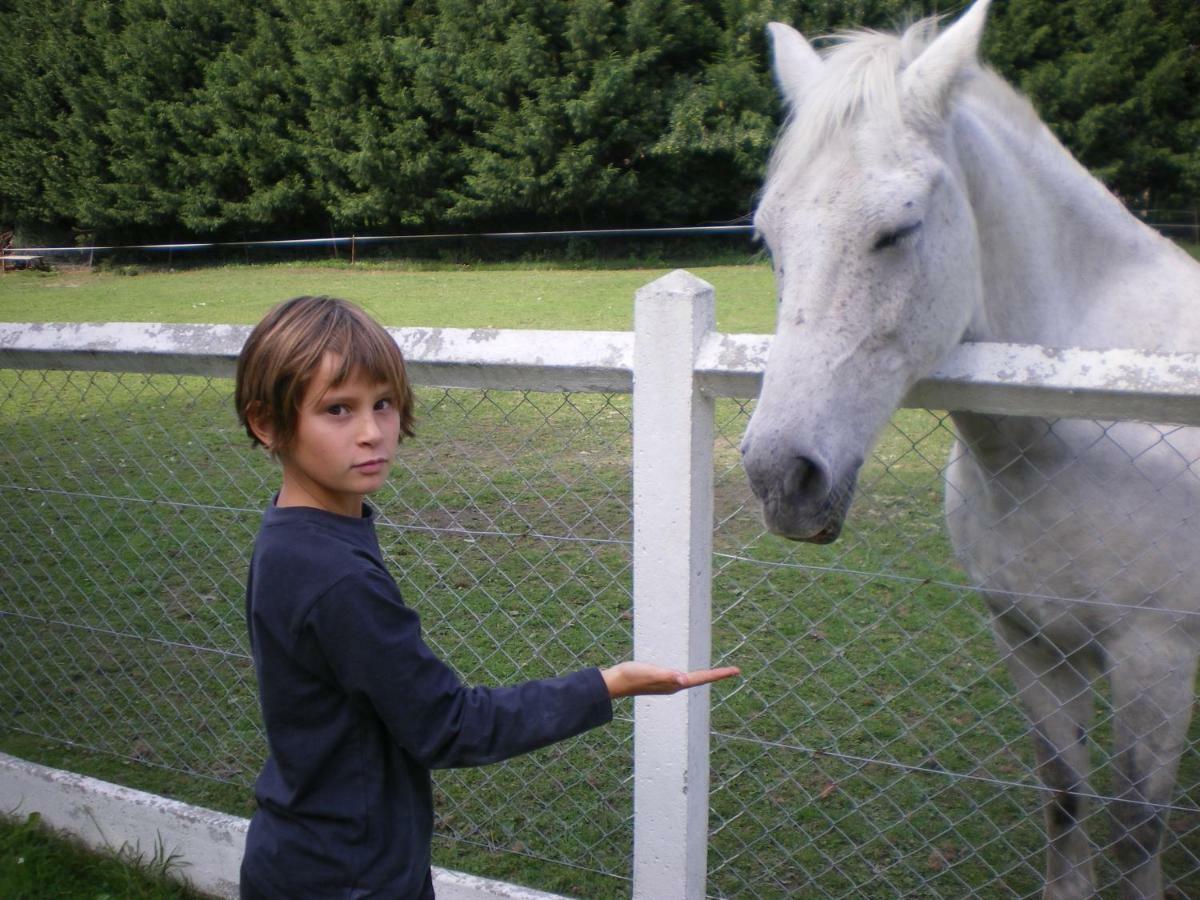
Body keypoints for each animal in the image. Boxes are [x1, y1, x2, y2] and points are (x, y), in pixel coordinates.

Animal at [744, 3, 1200, 897]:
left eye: (899, 229)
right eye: (770, 236)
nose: (782, 477)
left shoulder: (1156, 660)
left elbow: (1136, 832)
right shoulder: (1031, 642)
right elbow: (1065, 798)